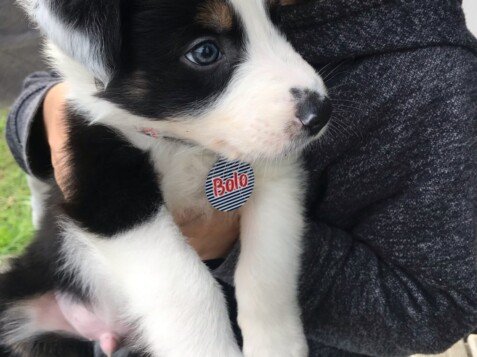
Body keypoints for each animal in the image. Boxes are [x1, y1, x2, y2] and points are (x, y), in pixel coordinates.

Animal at [0, 0, 330, 354]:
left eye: (276, 21)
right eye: (204, 52)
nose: (320, 113)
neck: (182, 145)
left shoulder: (276, 176)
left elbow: (268, 268)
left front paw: (276, 345)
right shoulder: (106, 188)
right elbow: (188, 285)